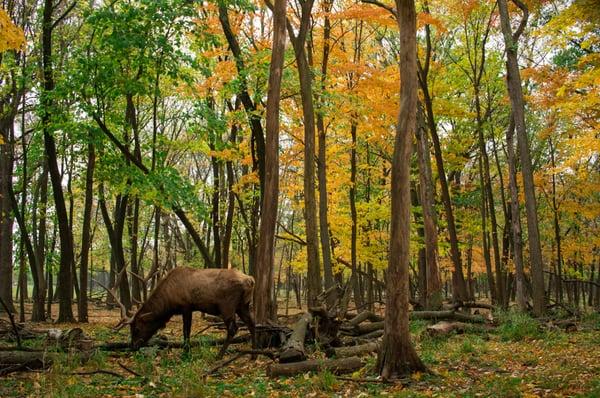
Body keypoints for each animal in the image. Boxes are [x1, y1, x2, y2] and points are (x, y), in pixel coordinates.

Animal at [98, 266, 255, 356]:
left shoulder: (186, 306)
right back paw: (254, 355)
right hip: (243, 305)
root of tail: (250, 280)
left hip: (227, 305)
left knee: (234, 328)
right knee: (252, 324)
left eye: (137, 328)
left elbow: (186, 332)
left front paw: (185, 354)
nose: (133, 346)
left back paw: (219, 356)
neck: (169, 303)